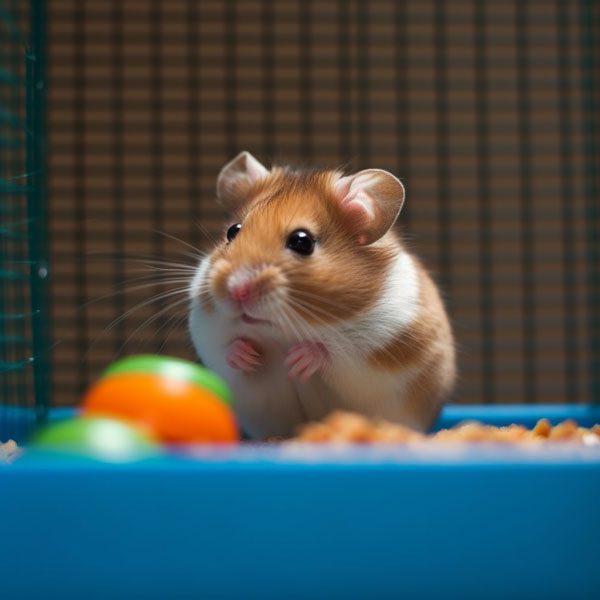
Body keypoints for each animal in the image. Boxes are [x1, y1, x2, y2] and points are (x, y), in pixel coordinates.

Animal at [188, 152, 454, 438]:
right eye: (233, 231)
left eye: (302, 241)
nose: (237, 289)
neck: (281, 332)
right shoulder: (207, 329)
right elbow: (225, 347)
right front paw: (247, 355)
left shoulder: (378, 340)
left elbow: (334, 350)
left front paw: (297, 360)